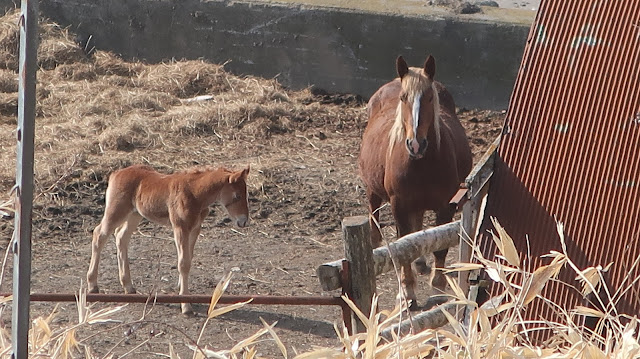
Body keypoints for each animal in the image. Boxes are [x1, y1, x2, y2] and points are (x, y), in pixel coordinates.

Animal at [87, 165, 250, 316]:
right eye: (237, 196)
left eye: (246, 194)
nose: (243, 222)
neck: (195, 194)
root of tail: (116, 173)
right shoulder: (180, 227)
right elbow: (183, 263)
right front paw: (185, 305)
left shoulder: (195, 228)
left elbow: (189, 258)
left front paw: (181, 289)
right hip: (116, 210)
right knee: (99, 235)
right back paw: (93, 285)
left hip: (135, 214)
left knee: (121, 237)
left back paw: (128, 287)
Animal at [360, 55, 470, 310]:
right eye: (403, 97)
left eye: (430, 97)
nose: (416, 144)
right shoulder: (399, 205)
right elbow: (403, 247)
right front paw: (407, 293)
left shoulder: (445, 206)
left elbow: (439, 249)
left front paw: (437, 290)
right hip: (373, 190)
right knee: (375, 218)